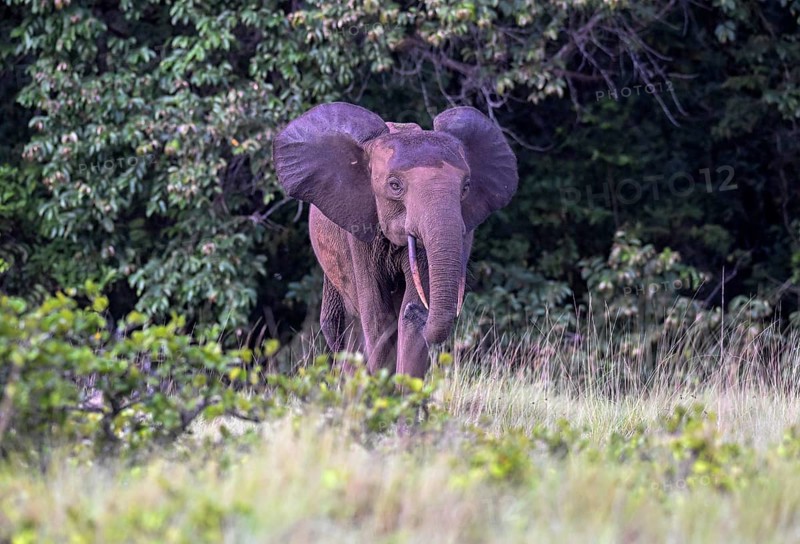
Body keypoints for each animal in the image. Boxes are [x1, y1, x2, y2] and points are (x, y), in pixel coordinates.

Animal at [273, 102, 518, 377]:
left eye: (465, 187)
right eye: (394, 185)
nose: (418, 312)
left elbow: (408, 320)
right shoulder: (358, 230)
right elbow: (378, 317)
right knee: (340, 327)